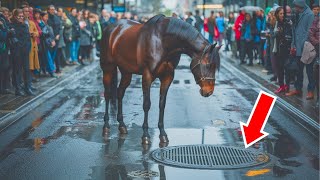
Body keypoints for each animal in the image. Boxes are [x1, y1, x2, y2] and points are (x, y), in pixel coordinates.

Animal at [100, 15, 220, 145]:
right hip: (108, 68)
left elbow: (162, 104)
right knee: (107, 94)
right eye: (208, 65)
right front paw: (145, 135)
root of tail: (111, 28)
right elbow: (146, 104)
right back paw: (106, 126)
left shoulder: (167, 77)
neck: (163, 42)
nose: (209, 91)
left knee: (120, 92)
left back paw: (122, 125)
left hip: (126, 72)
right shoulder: (147, 75)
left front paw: (162, 134)